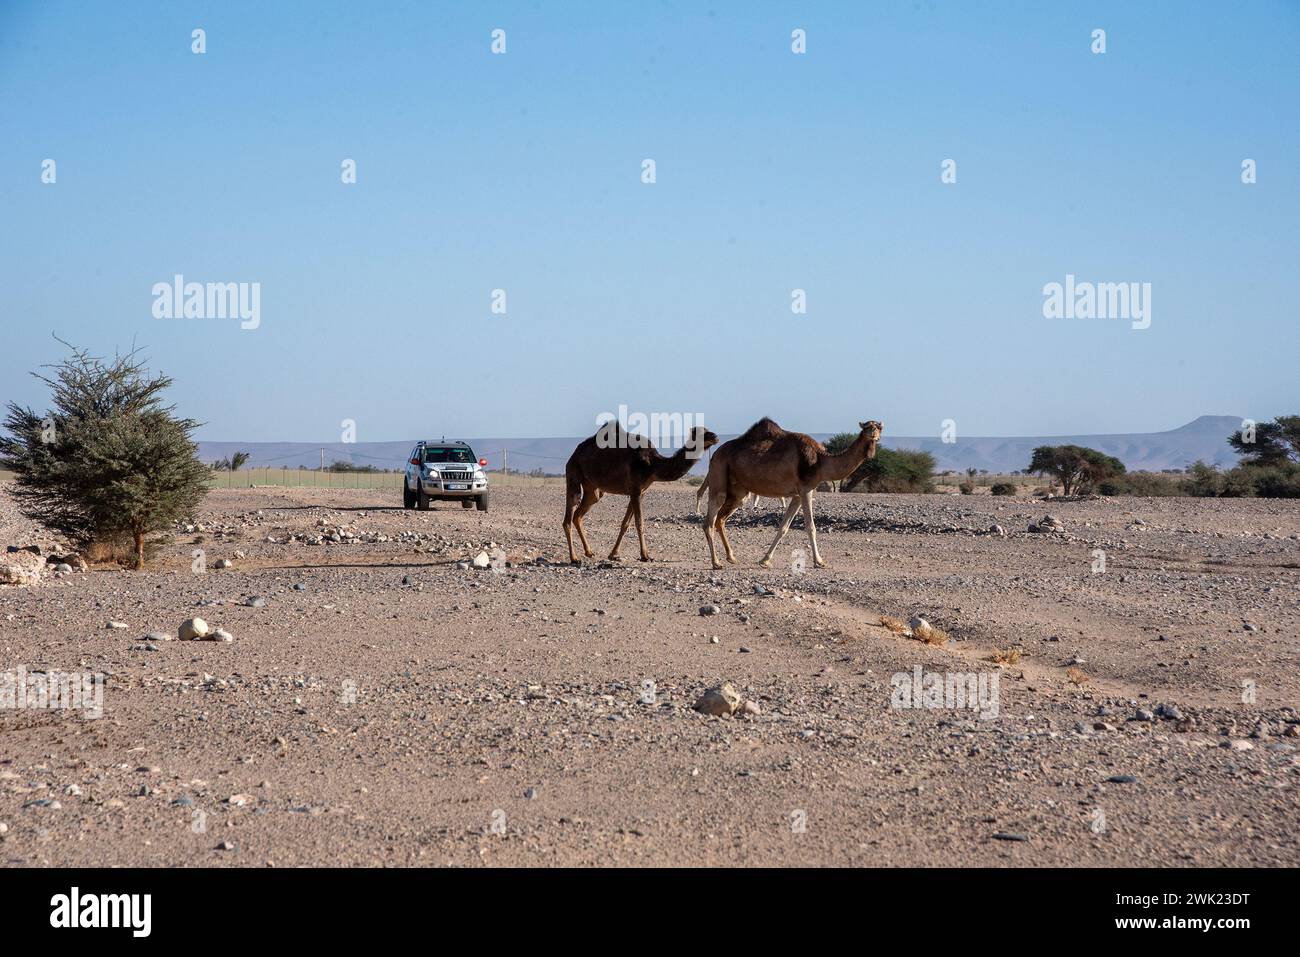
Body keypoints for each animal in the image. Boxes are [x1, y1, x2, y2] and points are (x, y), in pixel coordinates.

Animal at [561, 421, 722, 564]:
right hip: (573, 473)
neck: (653, 465)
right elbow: (639, 522)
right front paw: (645, 556)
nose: (715, 436)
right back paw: (574, 558)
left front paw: (613, 554)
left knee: (578, 515)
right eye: (701, 433)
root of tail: (574, 454)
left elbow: (625, 523)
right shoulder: (636, 490)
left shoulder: (640, 492)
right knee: (568, 517)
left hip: (593, 489)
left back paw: (589, 552)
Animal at [702, 416, 883, 566]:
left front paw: (765, 560)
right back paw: (716, 562)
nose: (873, 433)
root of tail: (715, 453)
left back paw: (731, 557)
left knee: (720, 519)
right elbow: (810, 526)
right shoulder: (806, 489)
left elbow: (783, 527)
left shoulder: (797, 495)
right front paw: (819, 561)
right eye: (866, 427)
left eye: (879, 427)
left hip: (739, 491)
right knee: (710, 520)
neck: (820, 461)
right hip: (719, 472)